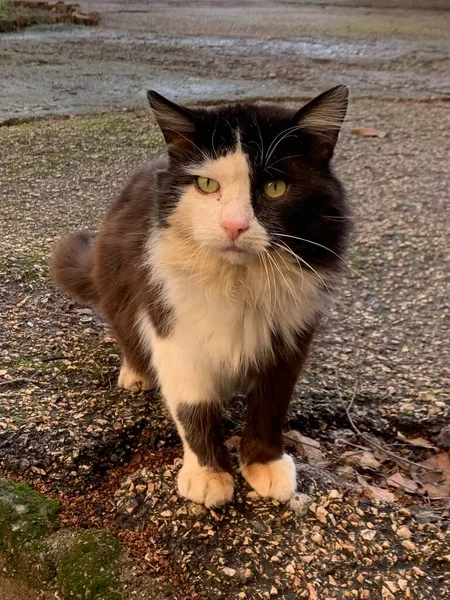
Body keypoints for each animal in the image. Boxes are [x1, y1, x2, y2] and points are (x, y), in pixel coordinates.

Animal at [50, 84, 352, 506]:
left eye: (275, 187)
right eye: (207, 185)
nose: (234, 226)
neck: (239, 283)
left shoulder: (290, 335)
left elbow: (271, 403)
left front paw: (264, 462)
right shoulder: (173, 329)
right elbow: (193, 407)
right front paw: (209, 473)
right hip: (120, 289)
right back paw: (136, 373)